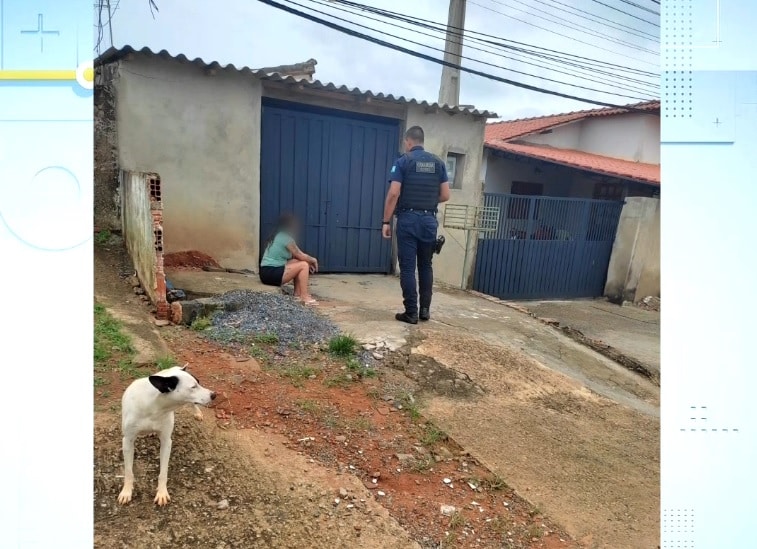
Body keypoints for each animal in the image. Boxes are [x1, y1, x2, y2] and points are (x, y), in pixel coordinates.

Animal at [116, 364, 216, 506]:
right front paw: (126, 491)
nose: (214, 395)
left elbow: (163, 472)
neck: (155, 407)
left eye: (199, 383)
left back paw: (197, 413)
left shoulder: (166, 442)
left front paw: (162, 493)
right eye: (193, 387)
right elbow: (128, 472)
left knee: (192, 404)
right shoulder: (127, 441)